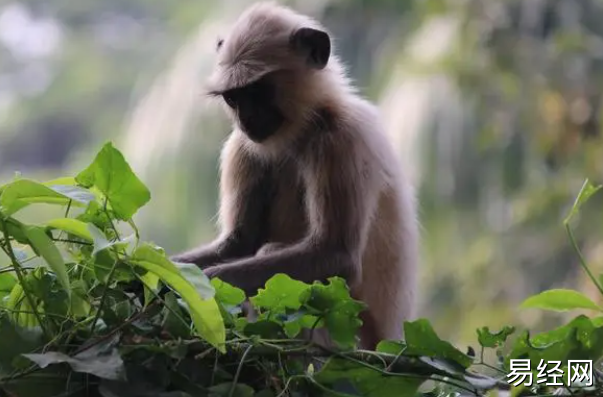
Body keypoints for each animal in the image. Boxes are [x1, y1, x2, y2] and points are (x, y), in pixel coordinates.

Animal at [171, 1, 420, 348]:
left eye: (258, 92)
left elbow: (336, 255)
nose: (245, 119)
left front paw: (200, 289)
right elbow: (238, 244)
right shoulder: (243, 145)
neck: (301, 132)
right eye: (234, 98)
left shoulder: (343, 139)